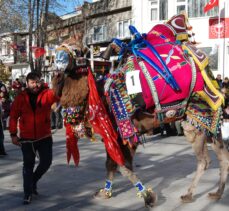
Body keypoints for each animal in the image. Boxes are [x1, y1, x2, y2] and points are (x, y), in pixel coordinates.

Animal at [52, 13, 229, 208]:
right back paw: (217, 193)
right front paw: (105, 192)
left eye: (77, 50)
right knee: (223, 156)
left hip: (196, 120)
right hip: (210, 123)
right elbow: (112, 164)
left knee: (204, 160)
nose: (58, 65)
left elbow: (123, 166)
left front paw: (148, 196)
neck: (99, 97)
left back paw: (189, 195)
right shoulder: (119, 135)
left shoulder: (123, 132)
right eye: (58, 46)